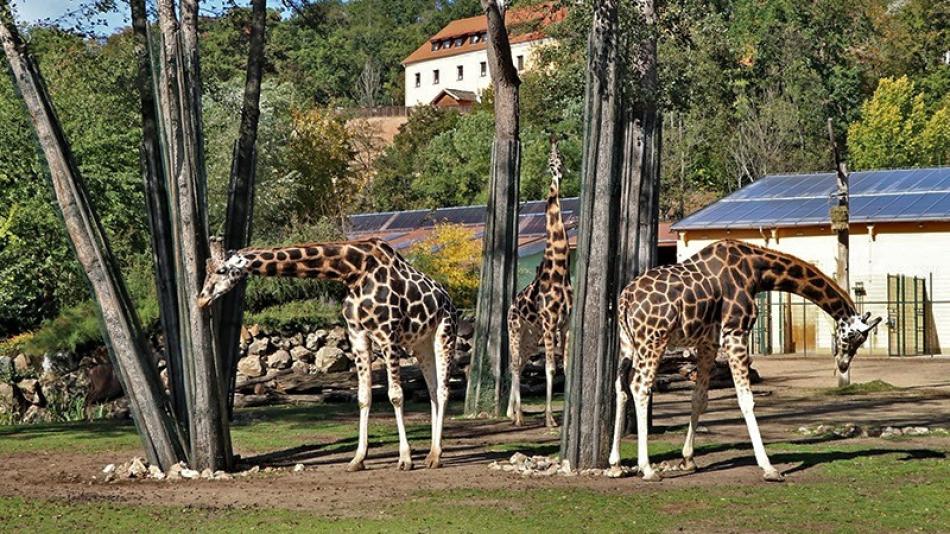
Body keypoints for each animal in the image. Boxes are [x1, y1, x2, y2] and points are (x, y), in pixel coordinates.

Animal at [197, 239, 458, 474]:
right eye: (206, 271)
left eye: (221, 270)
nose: (201, 299)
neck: (353, 271)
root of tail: (449, 301)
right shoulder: (357, 335)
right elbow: (364, 397)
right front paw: (358, 459)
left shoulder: (387, 335)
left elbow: (395, 396)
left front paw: (405, 459)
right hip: (421, 343)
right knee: (433, 390)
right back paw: (432, 454)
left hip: (445, 333)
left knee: (443, 391)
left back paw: (435, 456)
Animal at [612, 241, 880, 484]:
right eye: (854, 337)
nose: (843, 365)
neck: (757, 271)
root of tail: (625, 299)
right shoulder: (735, 333)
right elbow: (746, 400)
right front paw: (769, 468)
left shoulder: (708, 342)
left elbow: (699, 398)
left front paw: (688, 459)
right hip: (654, 340)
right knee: (640, 388)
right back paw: (647, 469)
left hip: (627, 343)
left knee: (621, 387)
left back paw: (616, 465)